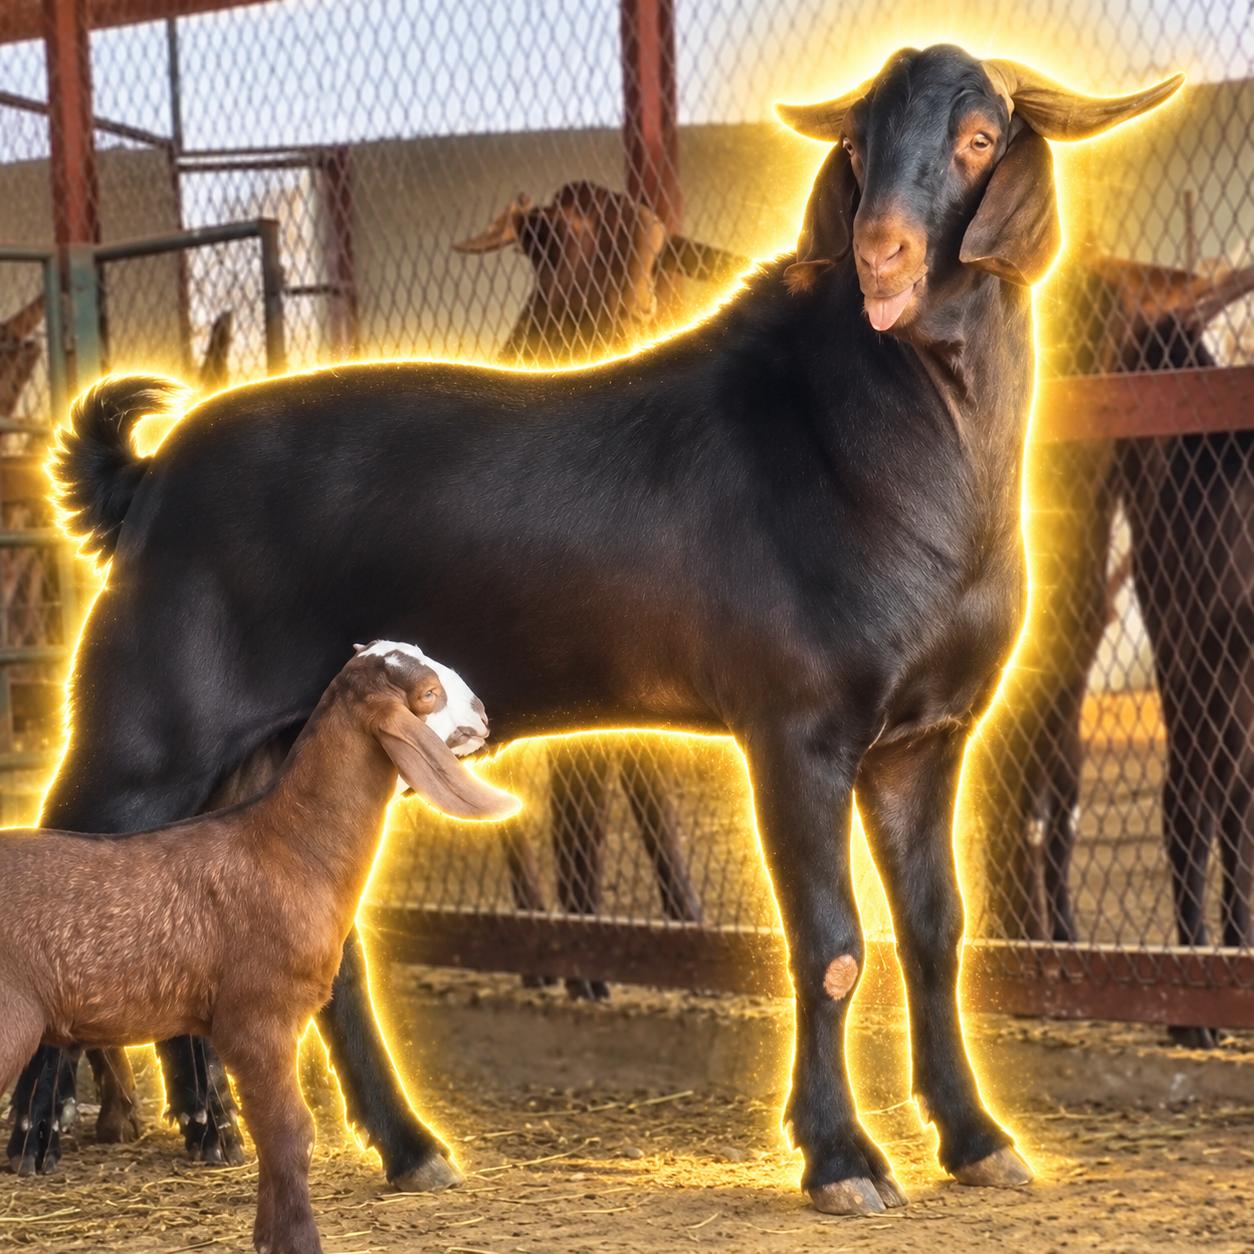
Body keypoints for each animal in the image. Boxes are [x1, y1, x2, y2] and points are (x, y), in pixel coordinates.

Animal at [0, 642, 514, 1254]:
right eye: (429, 694)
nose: (483, 712)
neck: (288, 846)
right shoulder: (255, 1017)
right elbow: (293, 1130)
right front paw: (298, 1239)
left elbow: (274, 1132)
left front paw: (270, 1237)